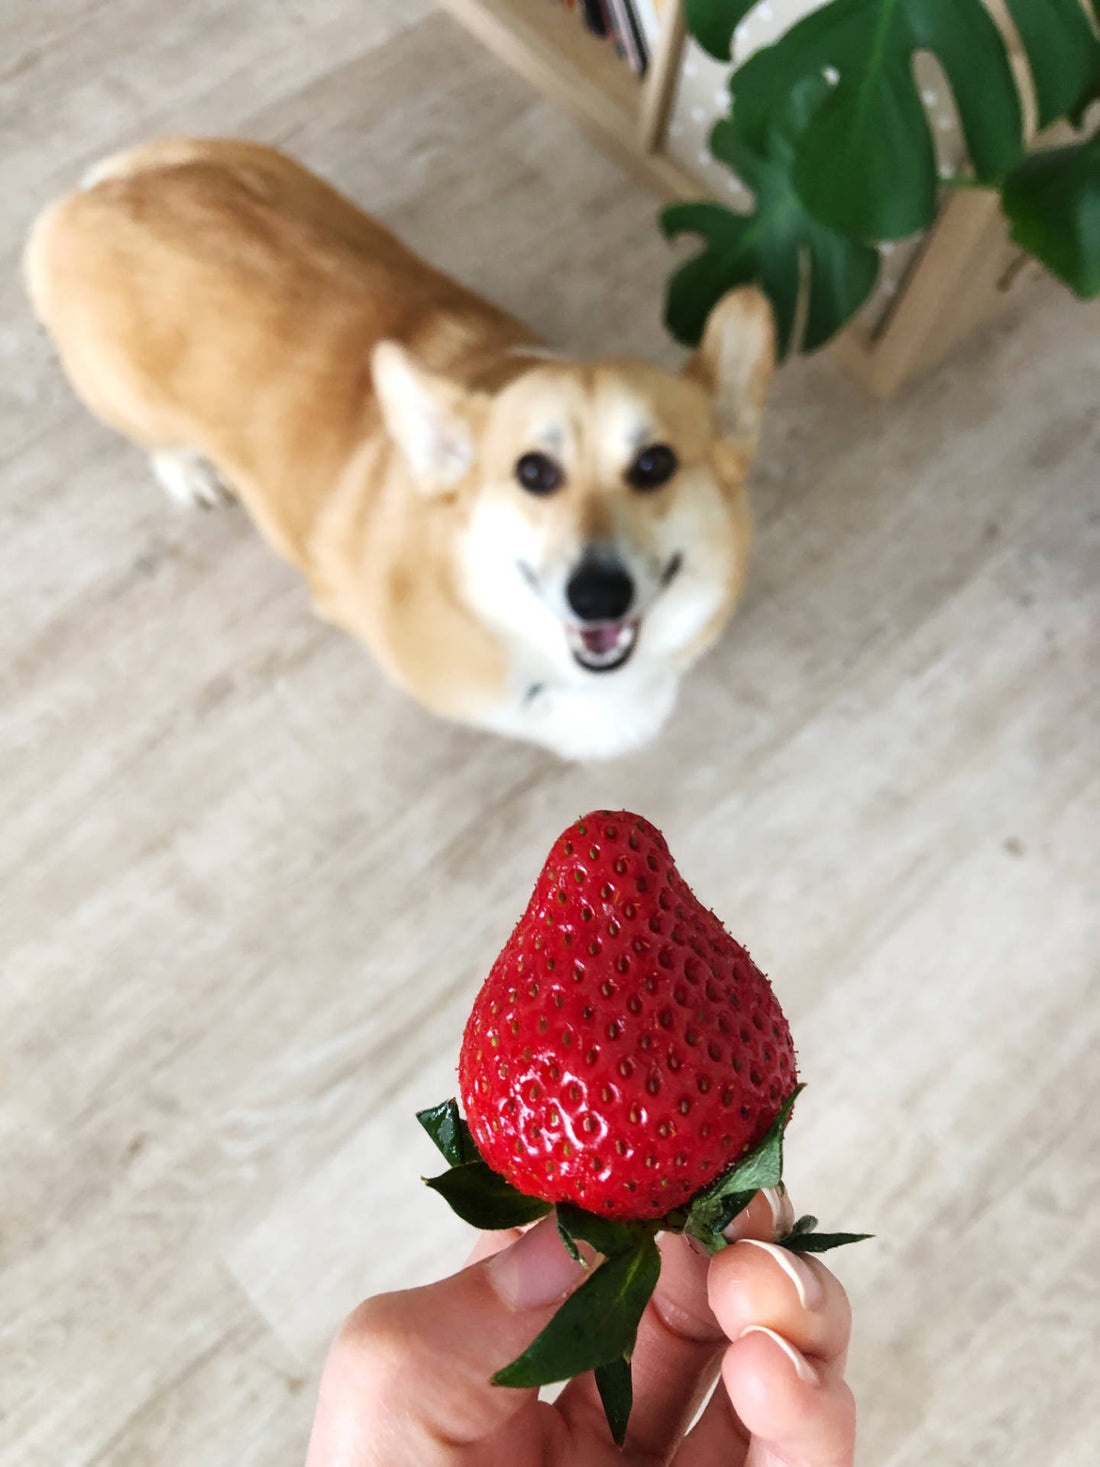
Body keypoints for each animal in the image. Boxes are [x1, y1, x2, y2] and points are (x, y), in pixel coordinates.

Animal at [28, 138, 786, 762]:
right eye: (534, 473)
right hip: (129, 398)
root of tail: (93, 197)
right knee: (156, 439)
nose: (598, 595)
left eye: (655, 464)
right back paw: (190, 470)